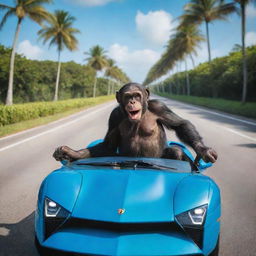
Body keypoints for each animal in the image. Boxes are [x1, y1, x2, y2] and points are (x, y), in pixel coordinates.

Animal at [53, 82, 217, 163]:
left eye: (137, 95)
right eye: (127, 96)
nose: (132, 101)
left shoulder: (159, 107)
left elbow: (180, 125)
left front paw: (203, 150)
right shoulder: (114, 116)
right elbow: (108, 145)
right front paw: (72, 153)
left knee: (176, 151)